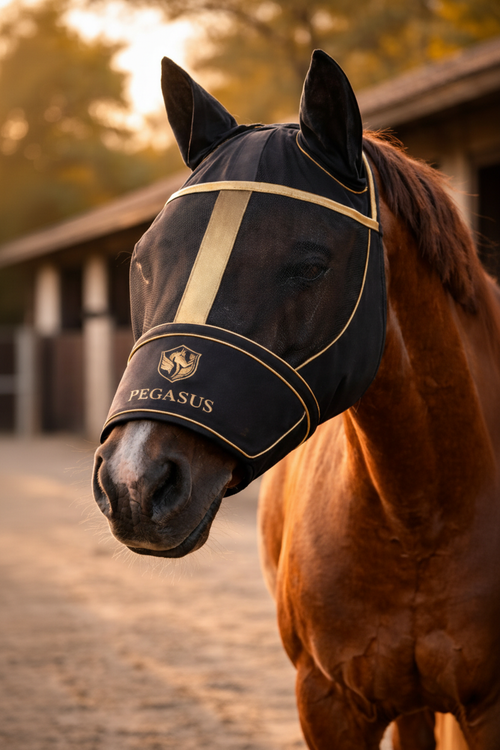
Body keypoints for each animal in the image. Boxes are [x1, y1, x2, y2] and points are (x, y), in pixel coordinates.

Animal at [92, 50, 500, 749]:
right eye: (143, 260)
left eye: (311, 265)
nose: (135, 483)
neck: (421, 511)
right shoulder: (328, 701)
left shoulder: (488, 708)